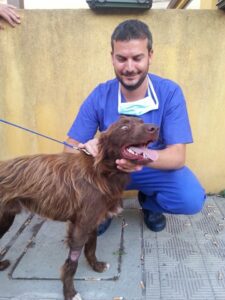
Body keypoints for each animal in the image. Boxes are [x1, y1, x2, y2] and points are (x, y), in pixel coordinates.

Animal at [0, 115, 158, 300]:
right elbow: (72, 263)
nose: (155, 128)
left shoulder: (93, 221)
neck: (102, 172)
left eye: (142, 122)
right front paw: (69, 292)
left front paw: (96, 266)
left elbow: (91, 247)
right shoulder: (80, 227)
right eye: (124, 127)